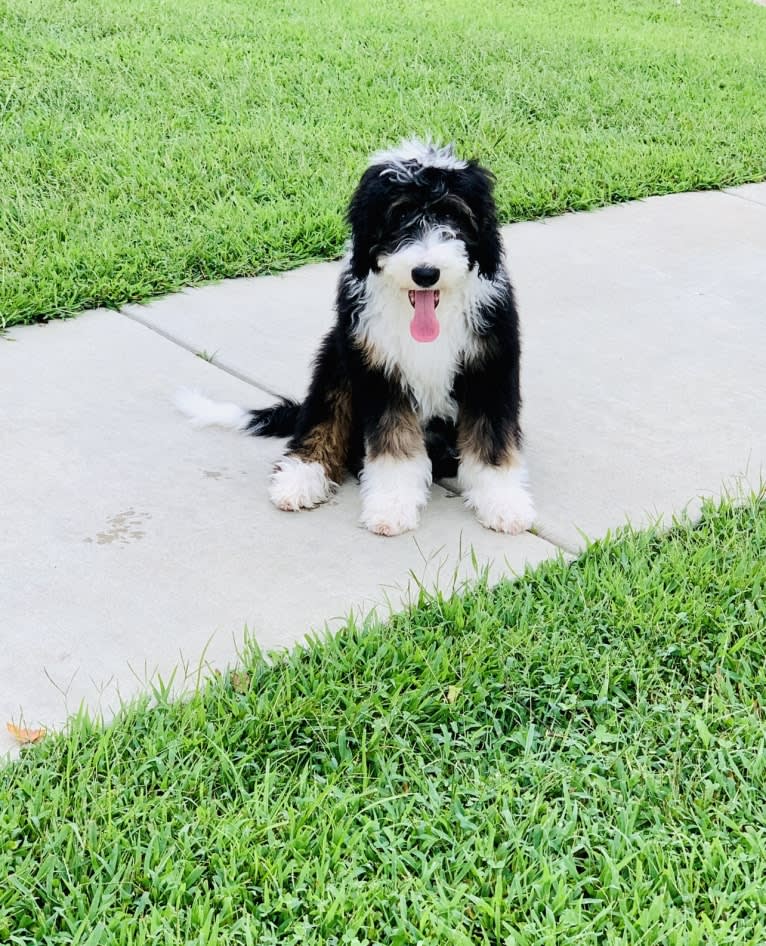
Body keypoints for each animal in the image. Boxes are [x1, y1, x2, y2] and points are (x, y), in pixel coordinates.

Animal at [178, 141, 540, 540]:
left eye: (452, 215)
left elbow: (492, 443)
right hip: (335, 359)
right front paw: (392, 505)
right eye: (400, 215)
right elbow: (393, 446)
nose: (425, 273)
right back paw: (301, 478)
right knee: (323, 420)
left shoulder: (490, 365)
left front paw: (503, 502)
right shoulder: (379, 368)